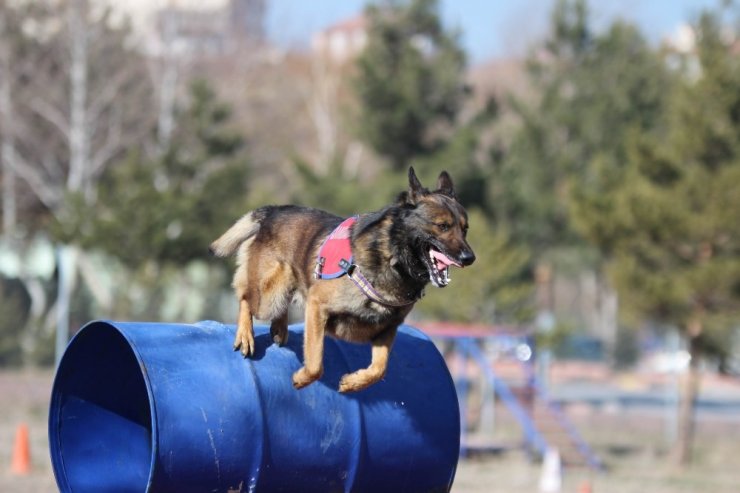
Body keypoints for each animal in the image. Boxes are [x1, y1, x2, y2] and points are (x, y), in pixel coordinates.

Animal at [210, 168, 474, 392]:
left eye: (465, 229)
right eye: (442, 226)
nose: (469, 258)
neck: (391, 256)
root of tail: (274, 211)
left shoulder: (387, 329)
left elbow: (379, 370)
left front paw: (353, 383)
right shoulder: (317, 306)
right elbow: (315, 364)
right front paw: (302, 378)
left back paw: (280, 328)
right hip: (270, 295)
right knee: (246, 298)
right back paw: (245, 334)